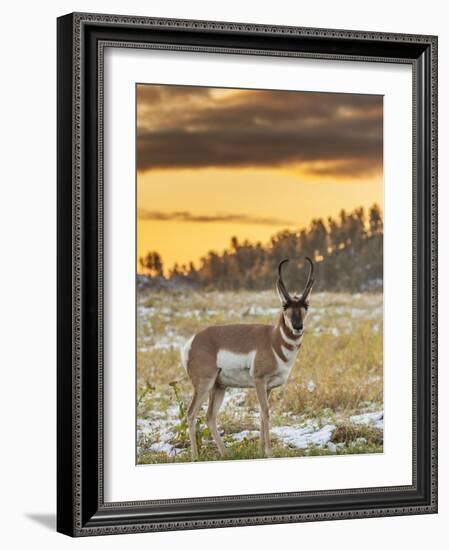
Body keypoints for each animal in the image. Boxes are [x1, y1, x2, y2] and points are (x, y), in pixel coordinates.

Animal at [179, 258, 316, 462]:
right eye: (285, 306)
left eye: (305, 306)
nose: (298, 326)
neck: (273, 340)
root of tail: (193, 341)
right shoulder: (259, 381)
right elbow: (266, 413)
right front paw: (269, 452)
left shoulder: (268, 387)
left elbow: (261, 414)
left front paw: (260, 451)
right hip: (204, 384)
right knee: (191, 413)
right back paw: (195, 457)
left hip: (219, 387)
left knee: (210, 416)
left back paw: (226, 453)